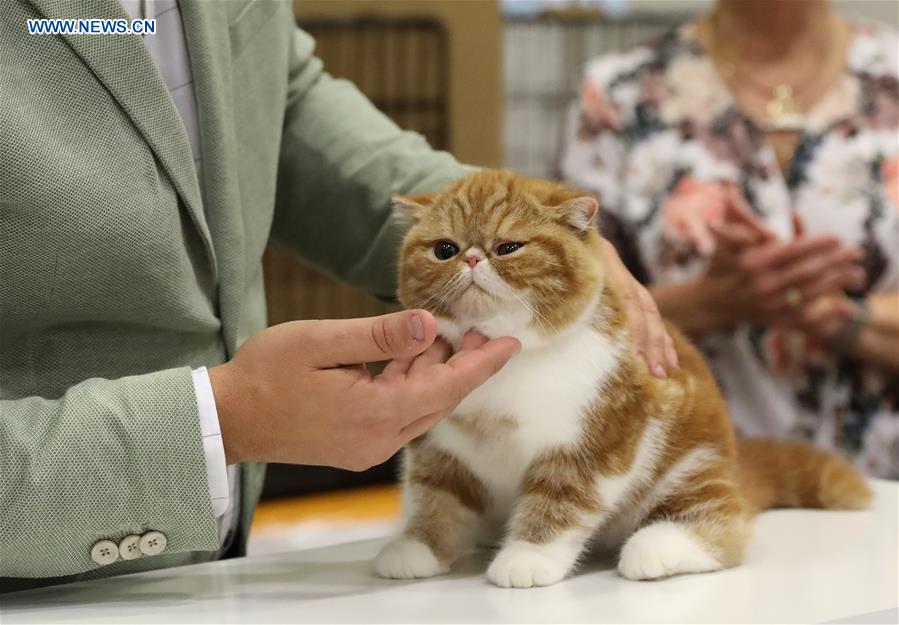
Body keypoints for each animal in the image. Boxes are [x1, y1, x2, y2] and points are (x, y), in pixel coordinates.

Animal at [372, 169, 872, 584]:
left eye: (508, 247)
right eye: (444, 250)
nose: (473, 259)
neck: (510, 365)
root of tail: (734, 465)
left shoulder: (596, 439)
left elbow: (560, 503)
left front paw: (528, 557)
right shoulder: (440, 446)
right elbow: (434, 496)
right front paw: (420, 546)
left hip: (690, 467)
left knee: (724, 523)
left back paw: (658, 547)